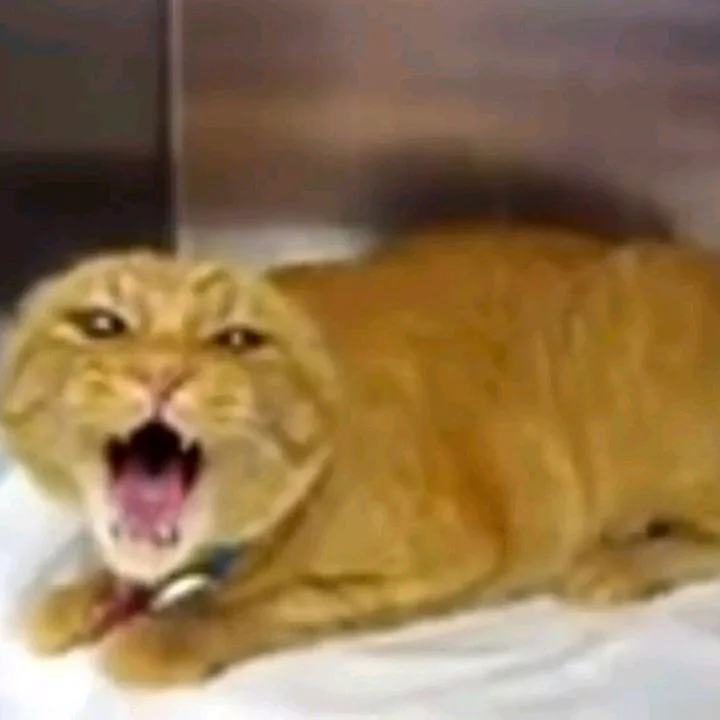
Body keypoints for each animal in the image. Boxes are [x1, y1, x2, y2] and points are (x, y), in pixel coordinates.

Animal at [1, 160, 706, 688]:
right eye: (102, 326)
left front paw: (172, 634)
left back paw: (621, 565)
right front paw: (82, 594)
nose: (157, 374)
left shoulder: (452, 556)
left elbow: (276, 606)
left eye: (234, 341)